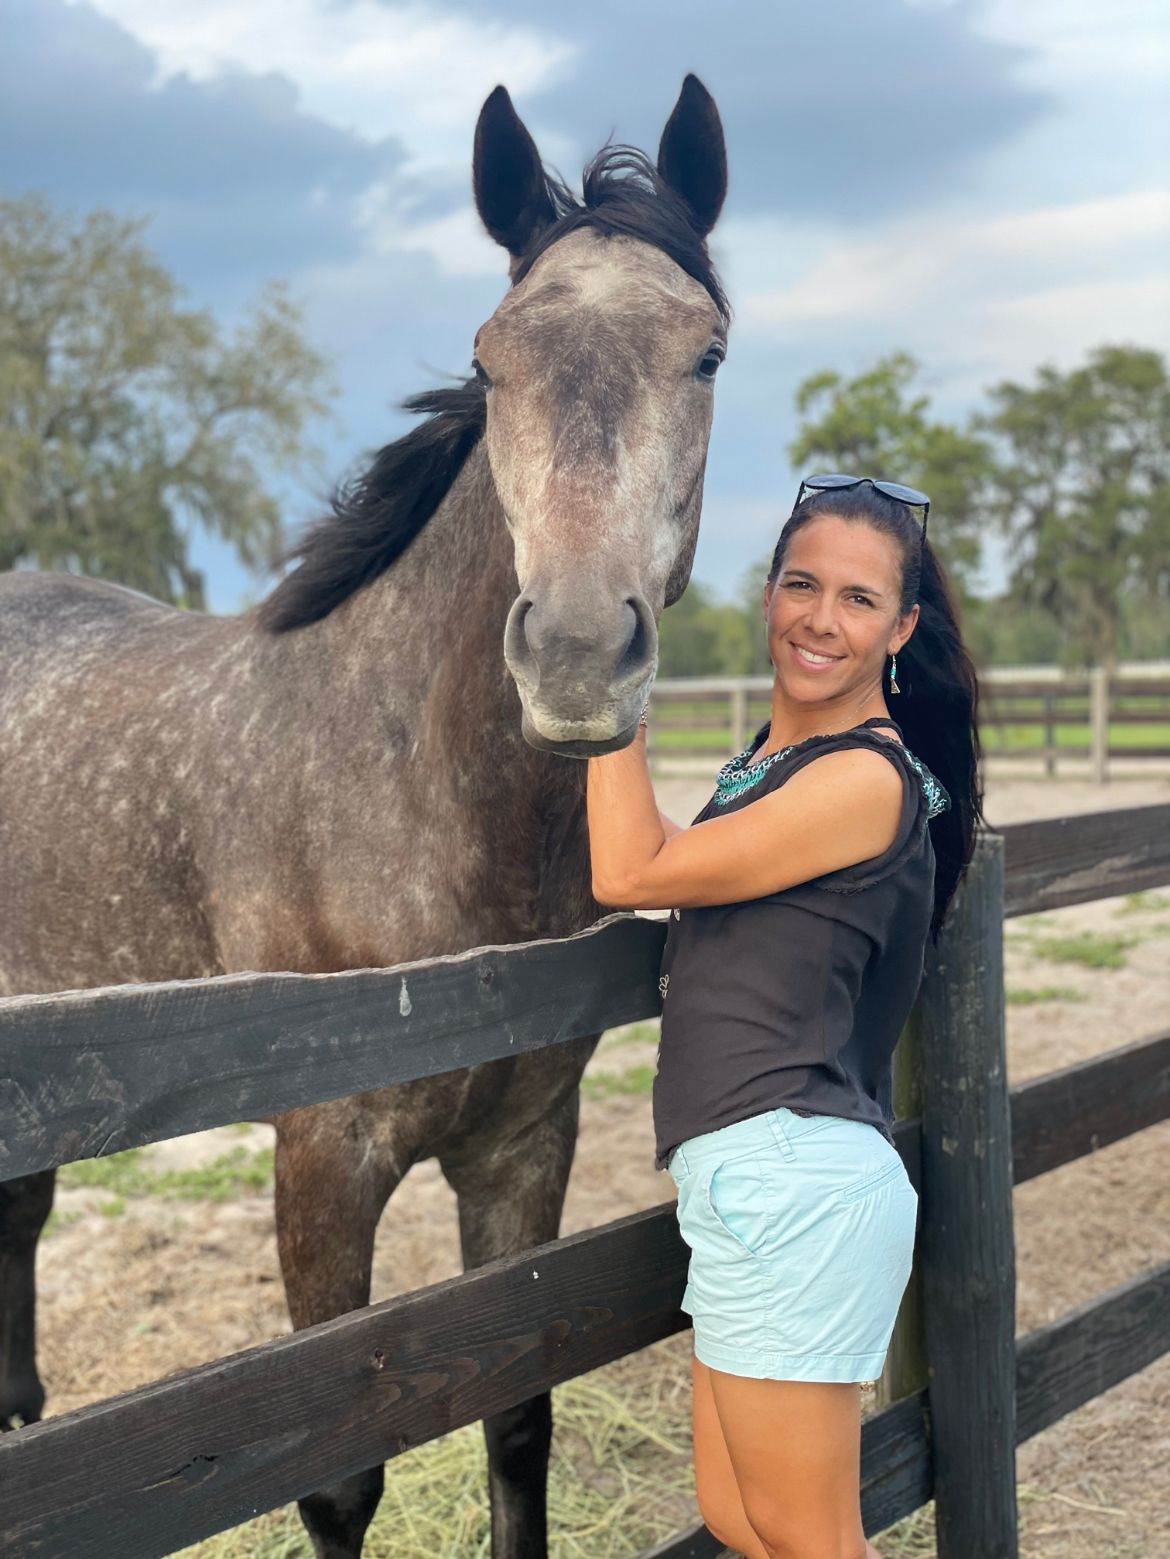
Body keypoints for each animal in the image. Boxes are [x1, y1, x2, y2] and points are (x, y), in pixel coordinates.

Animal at [0, 75, 729, 1558]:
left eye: (706, 356)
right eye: (491, 360)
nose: (575, 655)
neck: (417, 788)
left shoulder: (523, 1144)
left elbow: (517, 1418)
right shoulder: (323, 1158)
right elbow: (339, 1472)